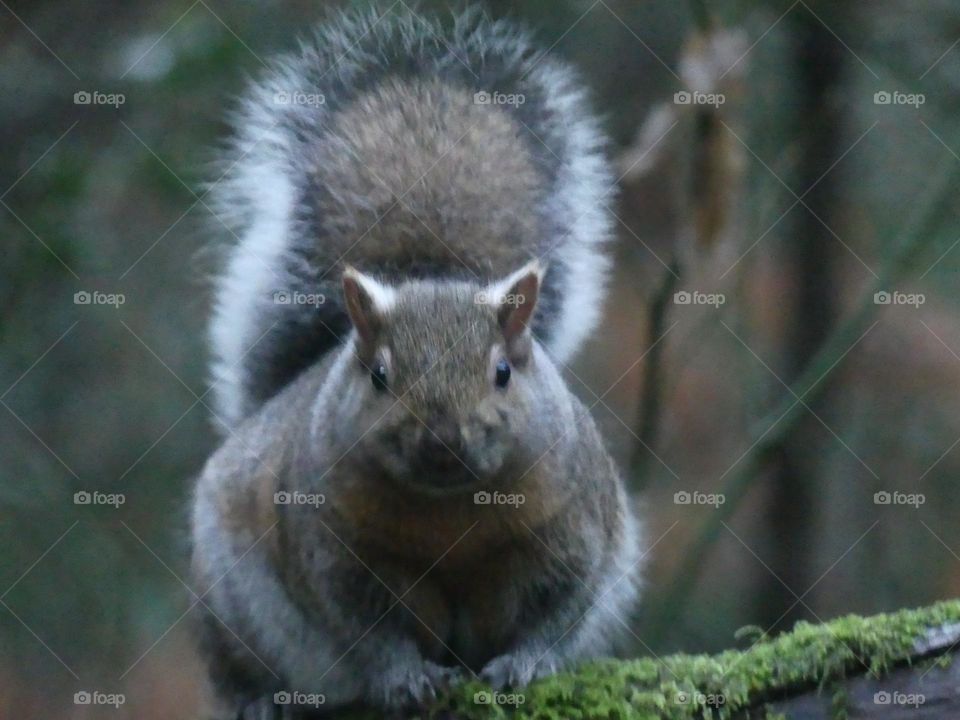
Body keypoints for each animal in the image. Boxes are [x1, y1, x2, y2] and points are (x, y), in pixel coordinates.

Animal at [191, 5, 643, 718]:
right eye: (379, 376)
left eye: (503, 372)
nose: (442, 441)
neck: (449, 514)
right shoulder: (331, 552)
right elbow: (367, 632)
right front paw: (403, 676)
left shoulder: (580, 529)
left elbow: (560, 611)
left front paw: (525, 663)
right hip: (224, 606)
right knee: (233, 665)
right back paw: (258, 699)